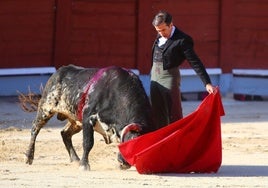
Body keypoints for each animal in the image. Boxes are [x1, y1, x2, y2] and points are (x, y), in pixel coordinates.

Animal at [24, 64, 156, 170]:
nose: (125, 164)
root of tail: (58, 72)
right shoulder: (88, 117)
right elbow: (88, 142)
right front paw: (84, 165)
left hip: (76, 121)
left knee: (65, 133)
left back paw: (75, 159)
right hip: (46, 107)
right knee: (35, 129)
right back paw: (29, 157)